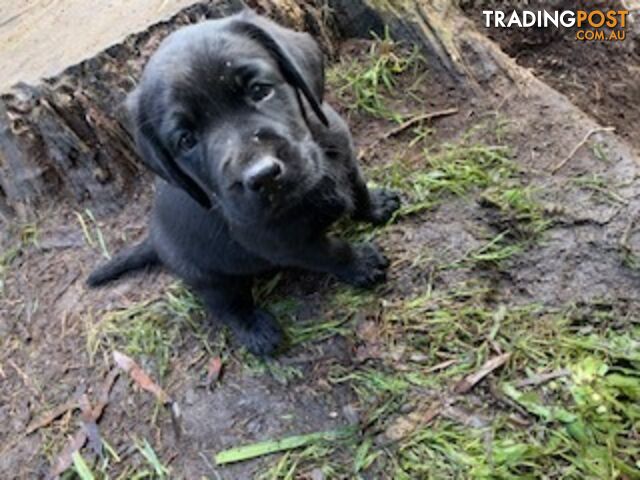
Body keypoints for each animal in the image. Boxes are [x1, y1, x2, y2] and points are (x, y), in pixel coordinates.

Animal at [90, 10, 400, 356]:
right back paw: (255, 330)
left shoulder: (344, 153)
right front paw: (360, 264)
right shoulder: (287, 244)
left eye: (260, 90)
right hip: (209, 278)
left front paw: (376, 206)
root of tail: (154, 240)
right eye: (186, 140)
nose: (262, 176)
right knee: (226, 306)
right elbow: (332, 252)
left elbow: (358, 190)